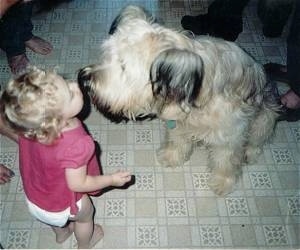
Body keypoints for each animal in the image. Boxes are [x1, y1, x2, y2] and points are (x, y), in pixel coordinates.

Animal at [77, 5, 278, 195]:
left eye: (123, 66)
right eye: (107, 55)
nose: (84, 78)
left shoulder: (231, 134)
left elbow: (226, 160)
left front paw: (223, 182)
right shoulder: (179, 124)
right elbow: (177, 141)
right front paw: (172, 156)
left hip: (265, 118)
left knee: (257, 139)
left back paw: (250, 152)